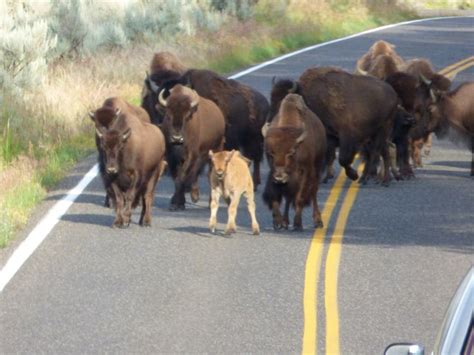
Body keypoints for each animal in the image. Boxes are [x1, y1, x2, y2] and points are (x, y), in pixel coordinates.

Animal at [262, 94, 328, 231]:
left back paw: (318, 221)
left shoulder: (306, 172)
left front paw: (298, 223)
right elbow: (276, 197)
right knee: (288, 197)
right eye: (270, 153)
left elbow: (299, 198)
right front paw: (278, 222)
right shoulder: (273, 173)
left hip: (317, 169)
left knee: (313, 194)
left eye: (291, 153)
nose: (280, 177)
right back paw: (286, 221)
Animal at [270, 68, 400, 188]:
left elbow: (343, 159)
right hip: (377, 134)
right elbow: (329, 156)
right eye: (271, 99)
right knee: (384, 152)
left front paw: (353, 175)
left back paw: (368, 179)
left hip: (382, 130)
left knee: (376, 153)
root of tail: (393, 93)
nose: (273, 122)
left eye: (283, 100)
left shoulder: (347, 136)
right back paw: (382, 180)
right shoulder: (330, 136)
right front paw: (324, 178)